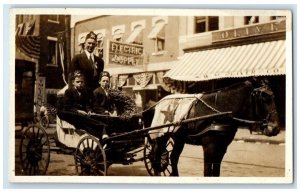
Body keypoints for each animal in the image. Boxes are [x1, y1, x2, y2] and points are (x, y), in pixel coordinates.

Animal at [142, 79, 280, 176]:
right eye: (263, 98)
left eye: (273, 97)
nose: (275, 129)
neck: (221, 110)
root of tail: (155, 104)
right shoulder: (209, 147)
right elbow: (208, 171)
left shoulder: (222, 147)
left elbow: (216, 171)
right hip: (160, 135)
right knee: (155, 158)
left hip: (178, 138)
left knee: (172, 158)